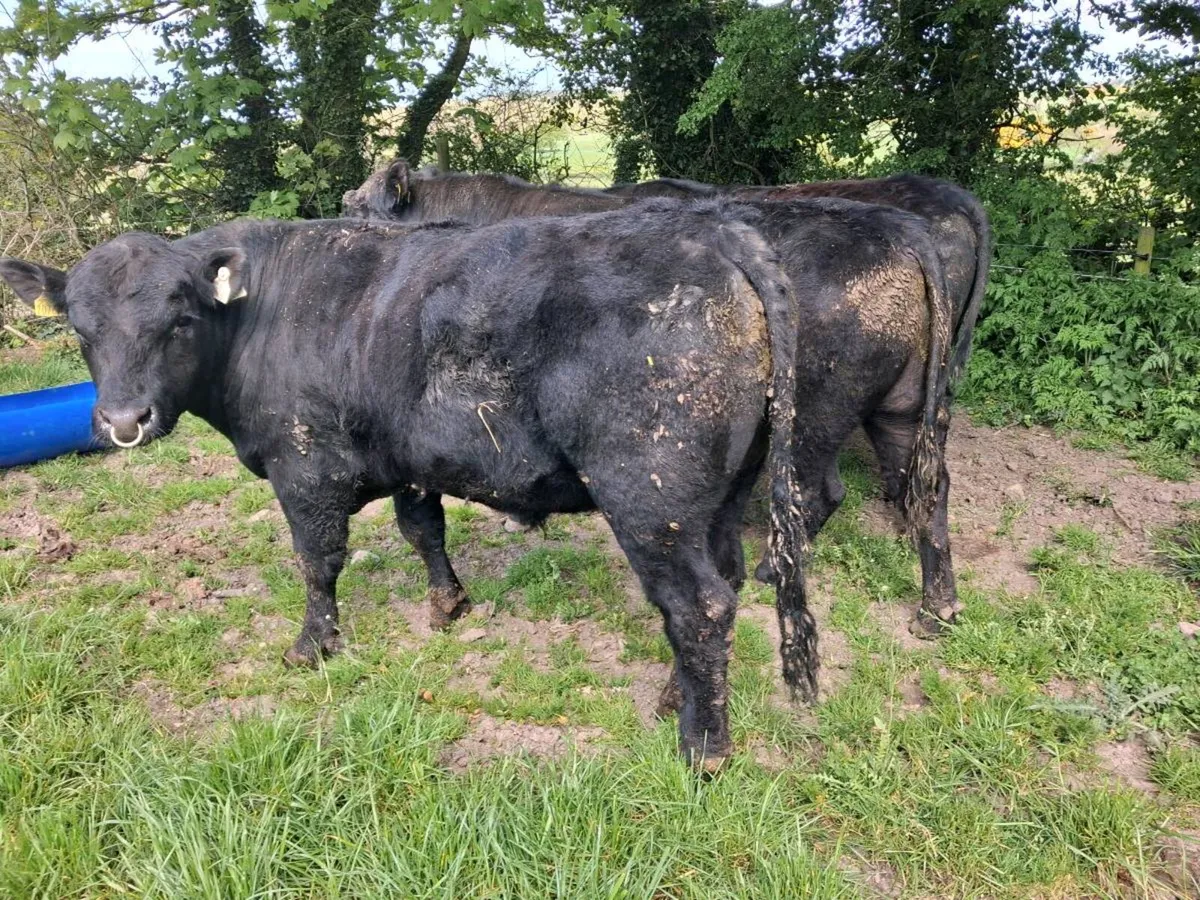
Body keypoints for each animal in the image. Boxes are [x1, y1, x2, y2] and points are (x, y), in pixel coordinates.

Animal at [0, 202, 811, 769]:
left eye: (178, 320)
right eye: (80, 329)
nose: (122, 420)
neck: (260, 313)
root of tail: (713, 235)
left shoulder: (305, 468)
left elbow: (318, 561)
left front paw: (311, 647)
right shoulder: (407, 458)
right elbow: (423, 529)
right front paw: (447, 606)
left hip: (651, 494)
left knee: (699, 605)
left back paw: (703, 748)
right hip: (718, 496)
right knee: (724, 587)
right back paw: (679, 696)